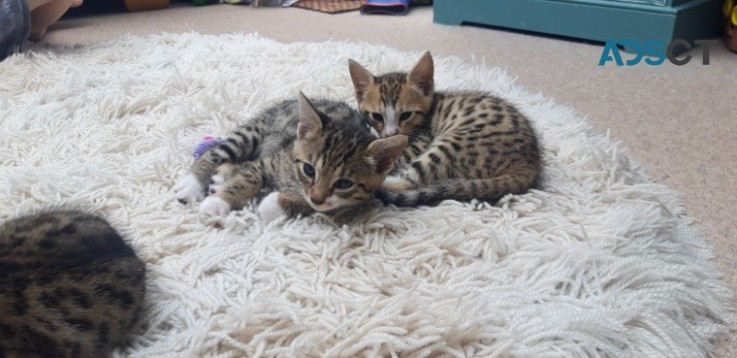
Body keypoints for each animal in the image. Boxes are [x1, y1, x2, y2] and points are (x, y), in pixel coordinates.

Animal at [172, 91, 406, 224]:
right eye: (309, 169)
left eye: (344, 183)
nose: (317, 197)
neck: (294, 177)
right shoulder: (270, 162)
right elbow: (250, 177)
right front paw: (218, 202)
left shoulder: (354, 201)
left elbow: (317, 206)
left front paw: (274, 203)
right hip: (255, 130)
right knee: (217, 152)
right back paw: (192, 183)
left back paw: (222, 176)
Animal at [344, 51, 540, 206]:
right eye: (377, 116)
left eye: (406, 115)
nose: (391, 133)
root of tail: (530, 162)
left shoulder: (420, 141)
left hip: (456, 144)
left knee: (412, 180)